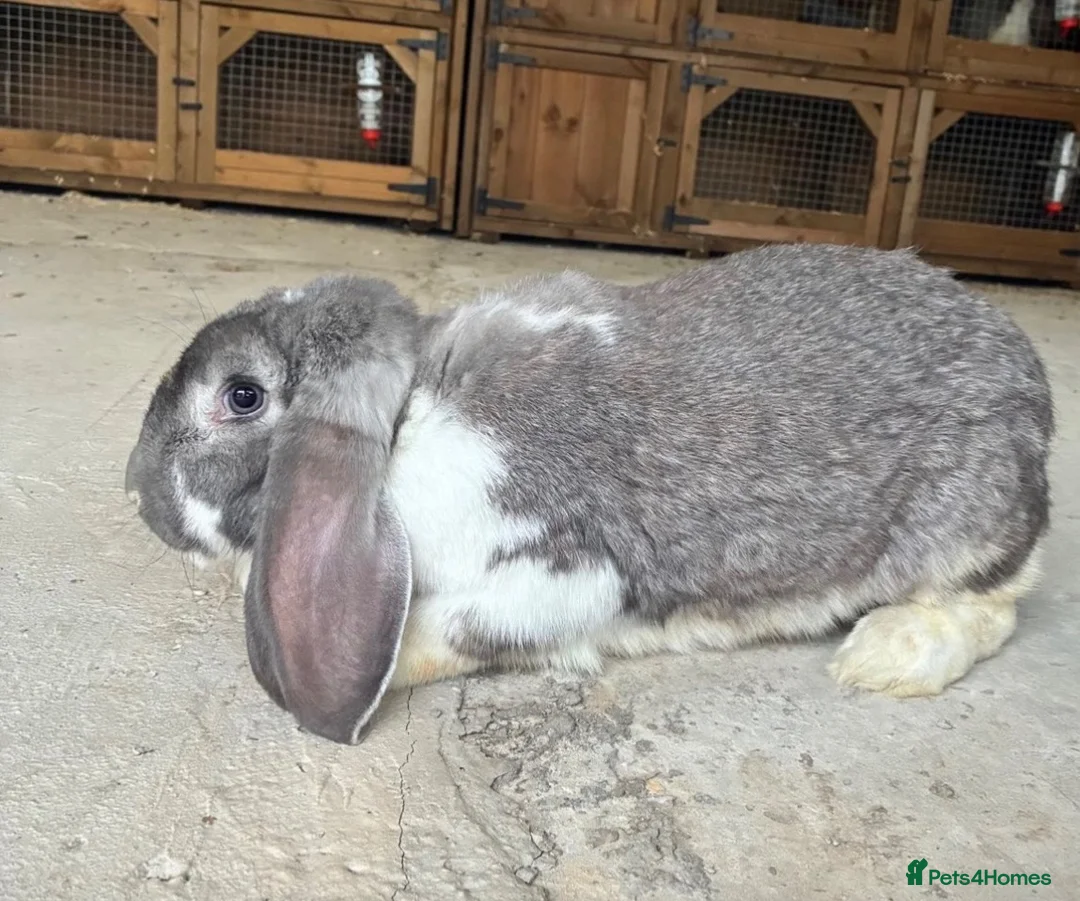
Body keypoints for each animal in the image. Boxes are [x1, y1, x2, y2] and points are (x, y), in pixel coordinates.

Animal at [125, 243, 1054, 745]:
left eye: (241, 395)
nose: (137, 490)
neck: (405, 422)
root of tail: (1029, 379)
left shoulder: (566, 571)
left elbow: (462, 627)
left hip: (960, 533)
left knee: (994, 607)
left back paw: (885, 657)